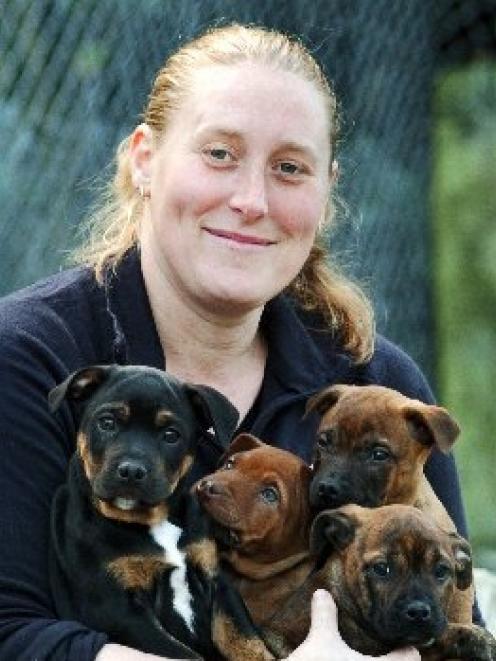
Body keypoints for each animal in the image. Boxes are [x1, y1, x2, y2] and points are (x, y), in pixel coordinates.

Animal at [49, 364, 276, 660]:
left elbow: (244, 639)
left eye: (171, 435)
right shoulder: (118, 610)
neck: (153, 521)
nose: (131, 471)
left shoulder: (217, 581)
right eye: (107, 423)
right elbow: (185, 654)